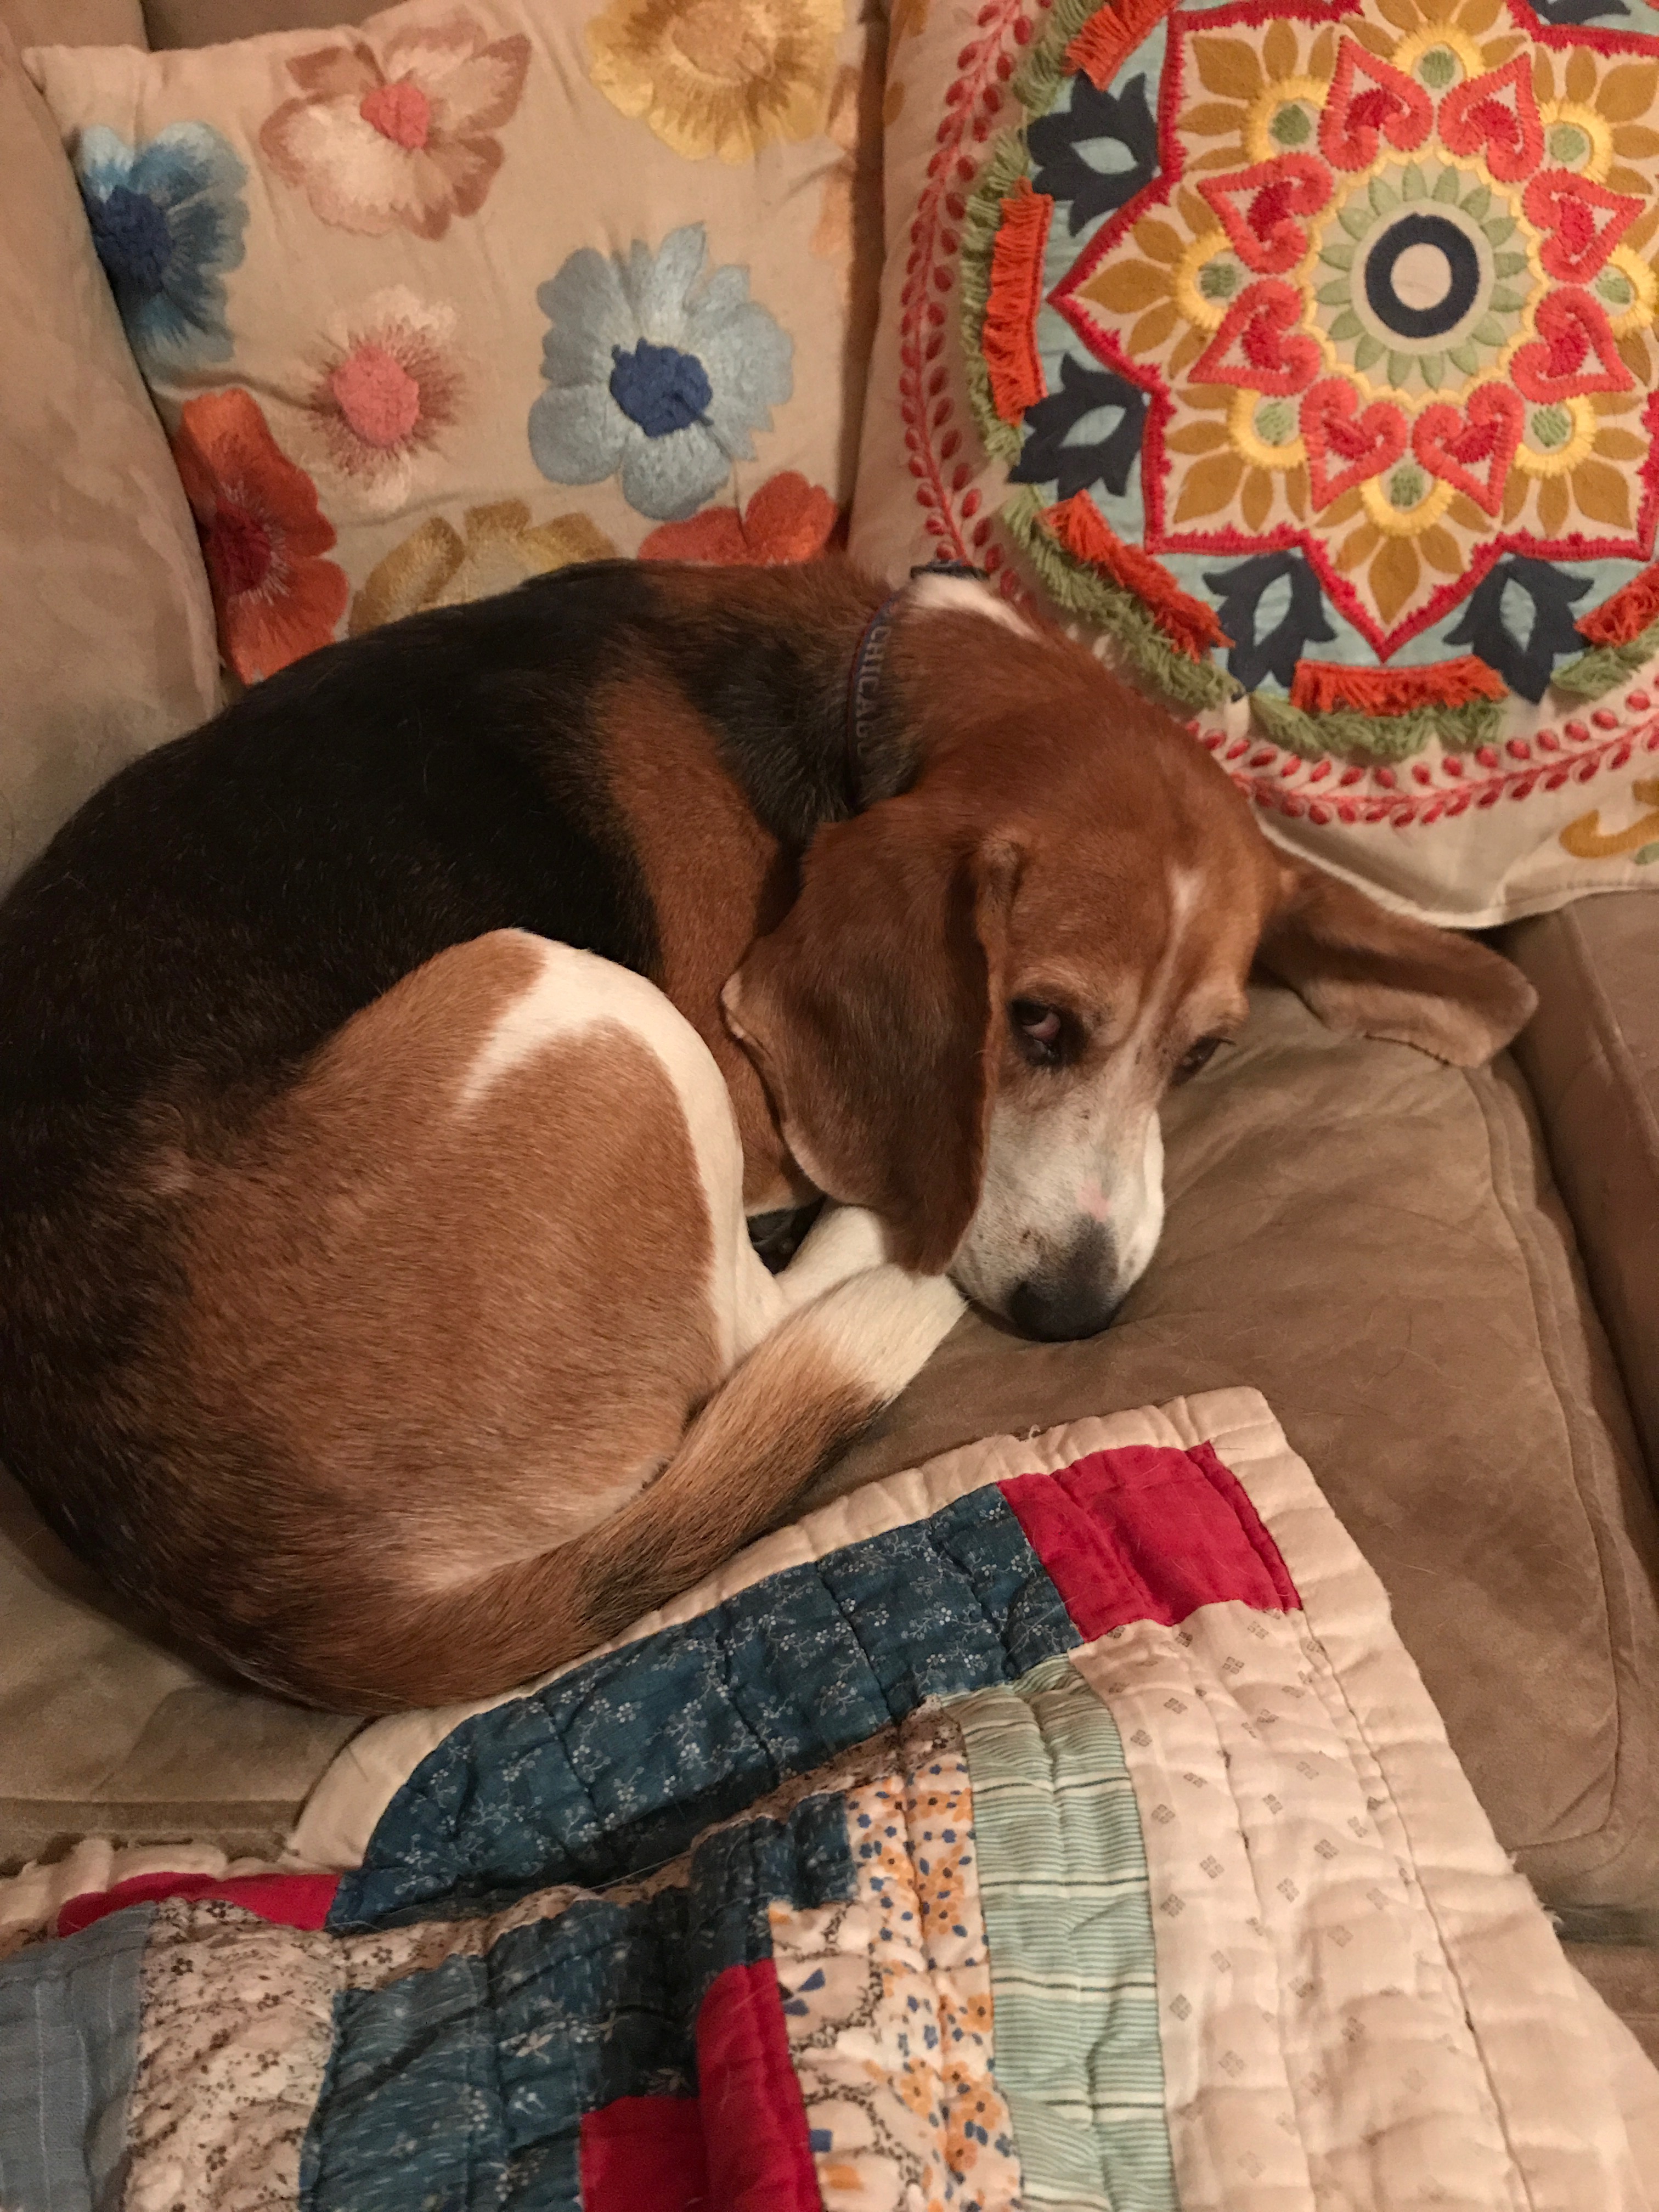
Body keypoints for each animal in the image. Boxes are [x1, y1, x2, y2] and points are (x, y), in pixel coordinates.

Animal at [0, 557, 1535, 1711]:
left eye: (1203, 1056)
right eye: (1035, 1022)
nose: (1076, 1315)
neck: (859, 687)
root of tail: (231, 1573)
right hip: (579, 1002)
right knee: (753, 1326)